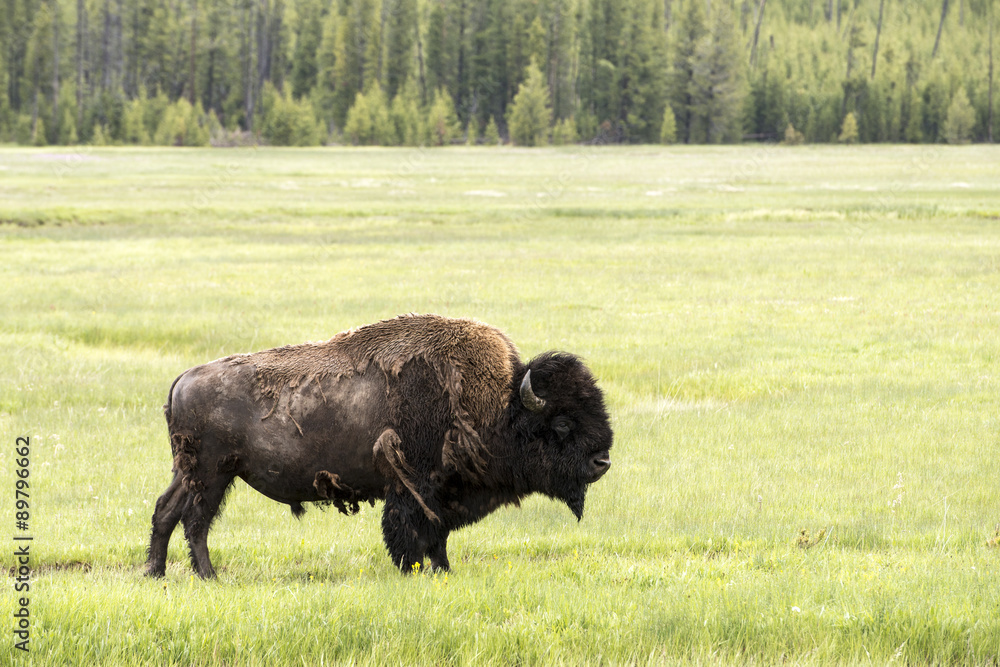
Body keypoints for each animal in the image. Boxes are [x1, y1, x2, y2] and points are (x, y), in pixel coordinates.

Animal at [145, 314, 612, 580]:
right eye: (563, 423)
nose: (602, 460)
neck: (499, 404)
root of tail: (184, 378)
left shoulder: (438, 494)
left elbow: (438, 536)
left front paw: (442, 571)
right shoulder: (414, 487)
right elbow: (413, 531)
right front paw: (414, 571)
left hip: (190, 471)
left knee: (166, 511)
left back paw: (155, 573)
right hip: (213, 473)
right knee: (196, 521)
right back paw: (209, 577)